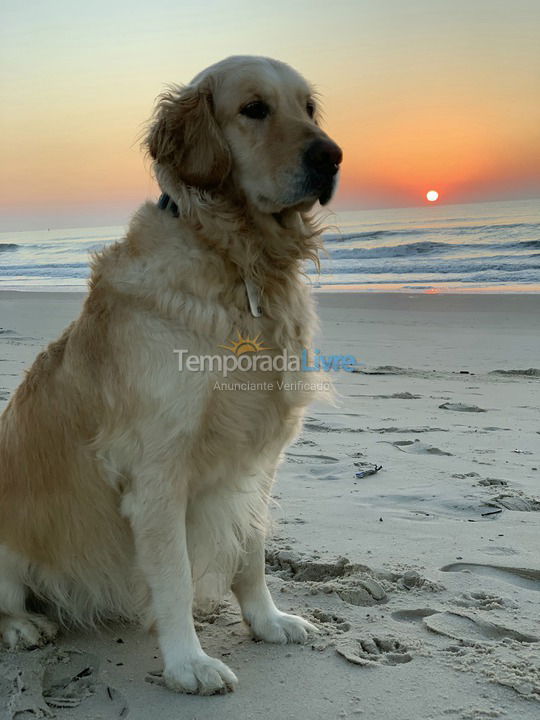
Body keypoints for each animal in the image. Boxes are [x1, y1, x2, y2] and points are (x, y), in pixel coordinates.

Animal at [0, 53, 342, 696]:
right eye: (253, 109)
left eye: (308, 107)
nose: (332, 156)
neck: (239, 262)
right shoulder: (157, 467)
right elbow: (176, 577)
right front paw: (188, 663)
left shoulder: (256, 459)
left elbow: (252, 550)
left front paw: (268, 621)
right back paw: (22, 627)